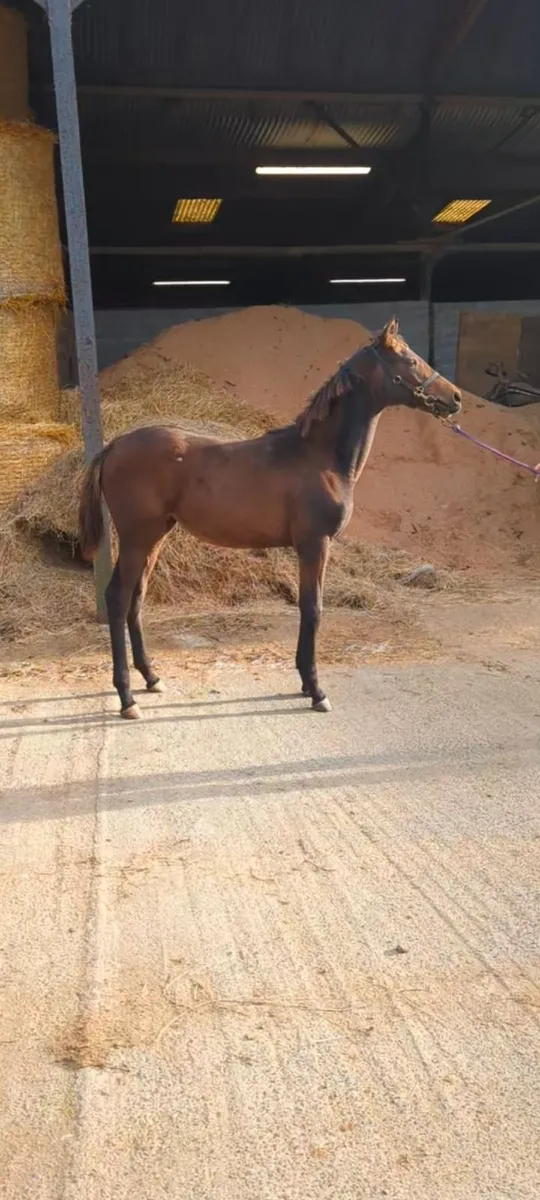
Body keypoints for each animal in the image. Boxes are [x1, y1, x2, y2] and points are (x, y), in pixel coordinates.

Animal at [78, 318, 461, 719]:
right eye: (410, 359)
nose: (455, 398)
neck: (318, 456)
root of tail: (114, 445)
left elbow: (308, 608)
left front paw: (306, 683)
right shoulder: (314, 544)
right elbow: (313, 608)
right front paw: (316, 691)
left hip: (155, 537)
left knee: (136, 599)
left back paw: (151, 678)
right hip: (137, 538)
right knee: (117, 598)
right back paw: (127, 698)